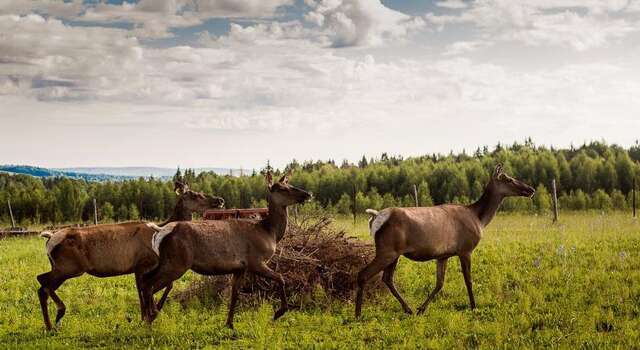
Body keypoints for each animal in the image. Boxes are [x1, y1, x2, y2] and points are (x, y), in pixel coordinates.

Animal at [36, 182, 225, 330]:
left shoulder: (144, 267)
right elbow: (145, 289)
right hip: (70, 267)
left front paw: (150, 313)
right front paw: (148, 315)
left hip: (61, 267)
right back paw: (59, 313)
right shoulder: (142, 264)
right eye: (195, 195)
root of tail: (49, 238)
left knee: (42, 285)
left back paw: (49, 326)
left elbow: (160, 286)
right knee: (42, 281)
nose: (220, 200)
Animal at [141, 171, 312, 330]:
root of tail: (161, 232)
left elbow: (234, 294)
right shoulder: (255, 261)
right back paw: (150, 317)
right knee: (149, 284)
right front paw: (279, 312)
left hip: (167, 262)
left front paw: (229, 324)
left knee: (145, 280)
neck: (270, 232)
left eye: (290, 184)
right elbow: (281, 278)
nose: (308, 194)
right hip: (178, 263)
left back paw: (147, 317)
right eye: (282, 189)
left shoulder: (240, 268)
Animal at [356, 164, 536, 318]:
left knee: (387, 278)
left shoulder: (443, 255)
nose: (531, 189)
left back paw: (408, 309)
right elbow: (468, 280)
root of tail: (376, 216)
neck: (479, 219)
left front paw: (422, 309)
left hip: (395, 253)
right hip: (387, 250)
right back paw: (358, 314)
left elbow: (439, 283)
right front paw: (474, 307)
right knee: (363, 274)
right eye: (508, 179)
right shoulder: (465, 249)